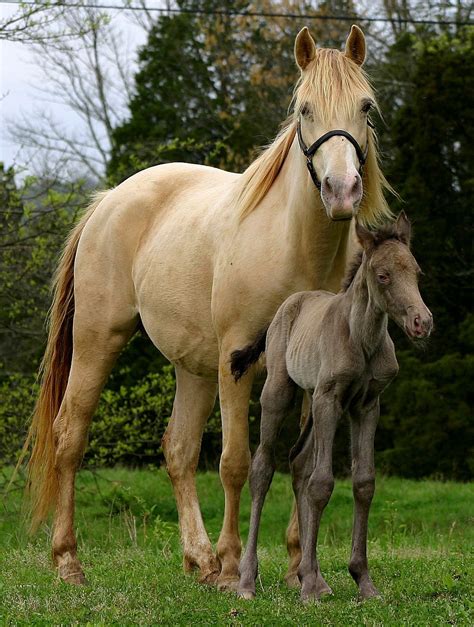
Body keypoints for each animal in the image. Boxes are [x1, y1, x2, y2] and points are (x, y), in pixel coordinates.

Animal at [24, 27, 390, 592]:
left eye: (365, 107)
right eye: (304, 109)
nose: (342, 191)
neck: (293, 248)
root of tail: (110, 199)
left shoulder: (313, 378)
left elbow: (303, 466)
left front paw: (294, 570)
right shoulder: (234, 364)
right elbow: (235, 462)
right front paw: (235, 568)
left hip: (192, 366)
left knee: (177, 450)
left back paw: (198, 558)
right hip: (99, 339)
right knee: (70, 436)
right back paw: (70, 561)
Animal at [231, 212, 432, 604]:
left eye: (416, 273)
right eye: (383, 275)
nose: (422, 322)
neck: (362, 340)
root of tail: (285, 306)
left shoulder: (366, 404)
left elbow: (363, 482)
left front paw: (362, 582)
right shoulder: (331, 397)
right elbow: (322, 483)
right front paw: (309, 587)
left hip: (313, 401)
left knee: (298, 462)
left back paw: (314, 577)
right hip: (282, 391)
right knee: (264, 468)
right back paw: (248, 581)